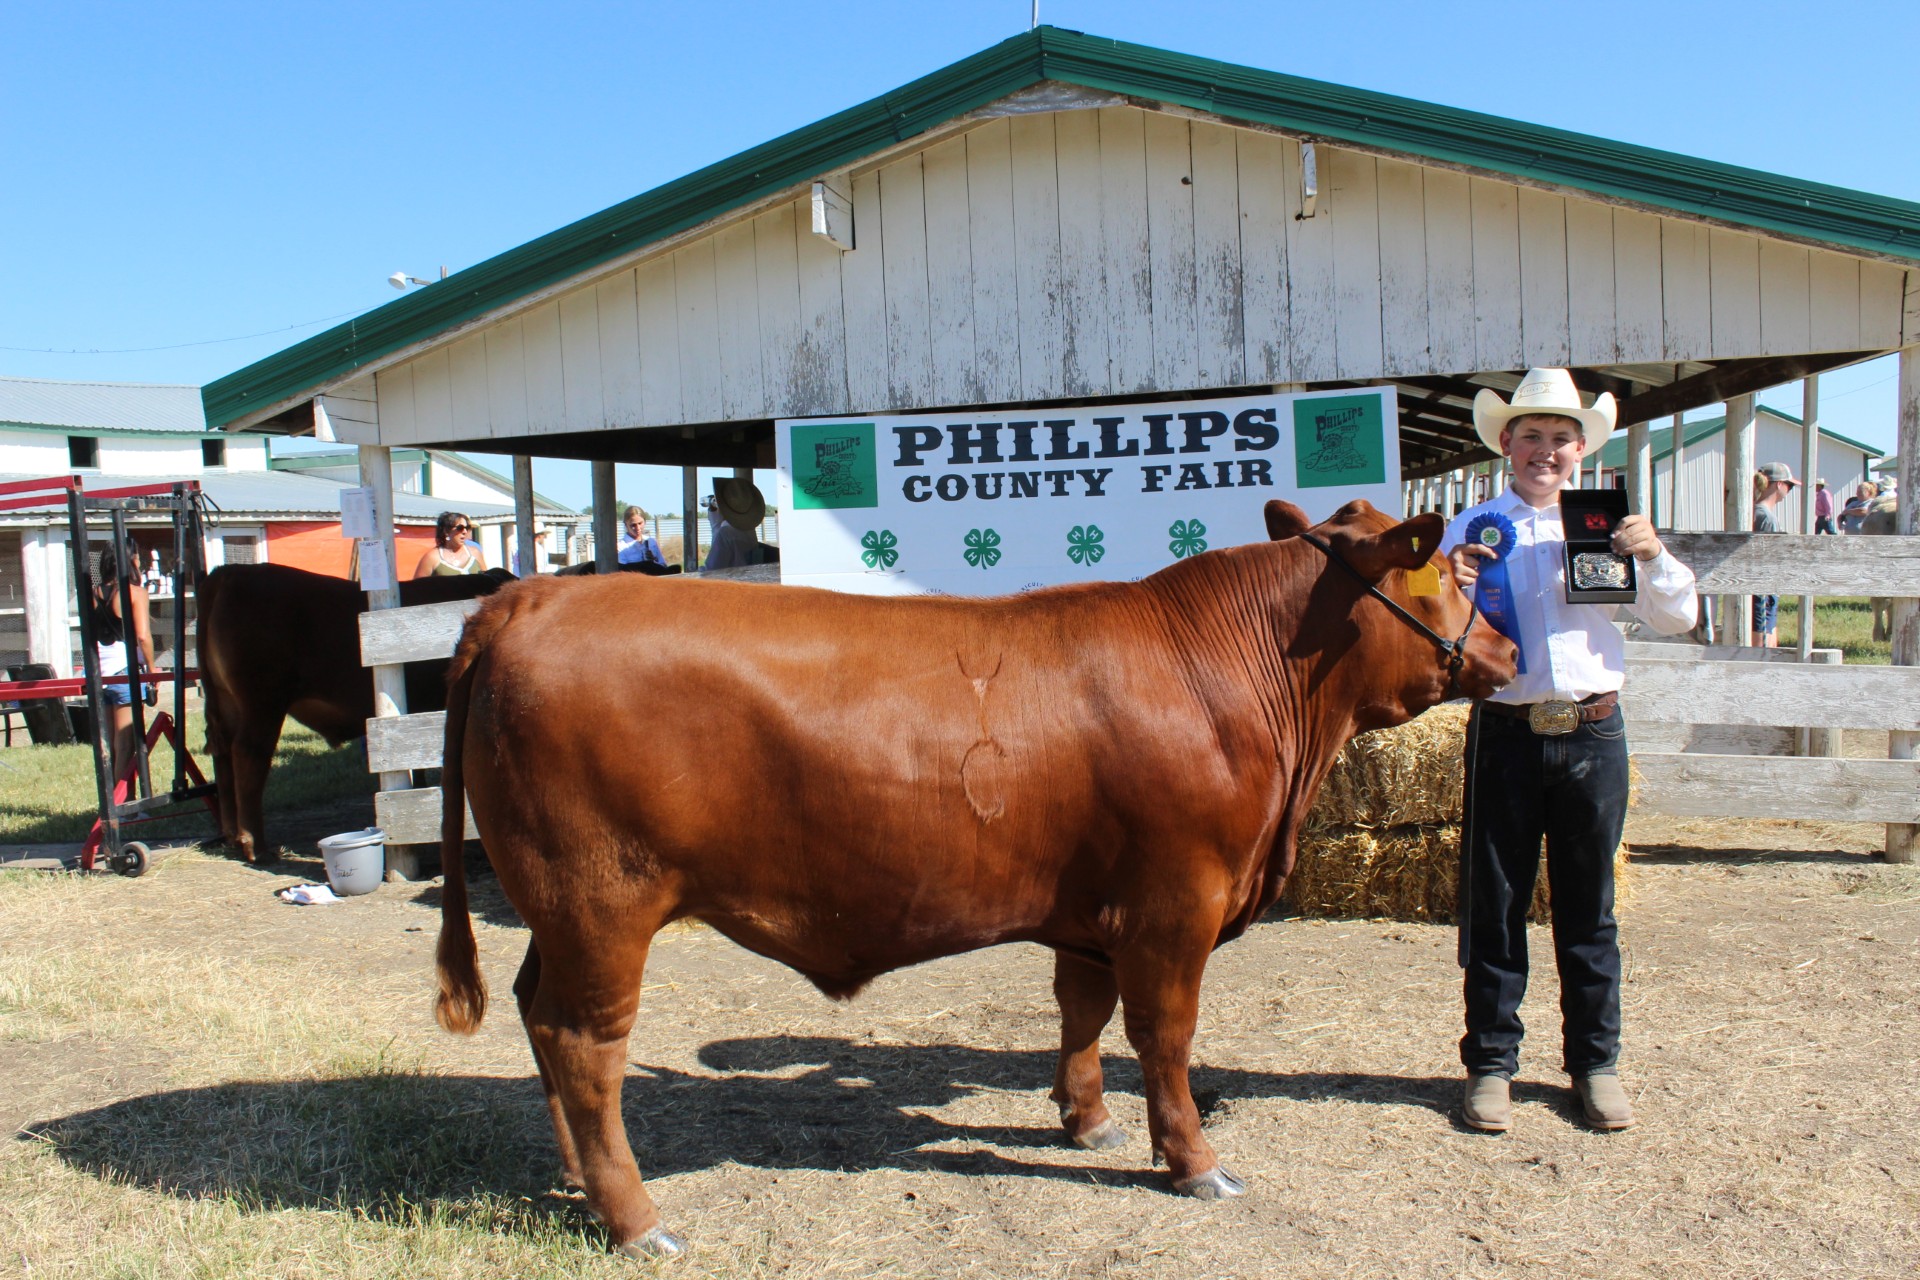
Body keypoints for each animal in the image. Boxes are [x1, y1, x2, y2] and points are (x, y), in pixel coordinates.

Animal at [200, 564, 510, 867]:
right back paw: (257, 846)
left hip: (227, 702)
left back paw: (232, 836)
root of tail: (231, 571)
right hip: (263, 701)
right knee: (248, 754)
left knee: (223, 757)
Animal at [435, 502, 1512, 1258]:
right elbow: (1163, 1037)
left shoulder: (1094, 909)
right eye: (1449, 569)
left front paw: (1087, 1121)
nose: (1504, 649)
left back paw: (578, 1180)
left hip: (557, 915)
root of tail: (532, 596)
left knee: (537, 1016)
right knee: (585, 1046)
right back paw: (636, 1217)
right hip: (603, 905)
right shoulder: (1177, 903)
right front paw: (1194, 1161)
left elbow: (1081, 1011)